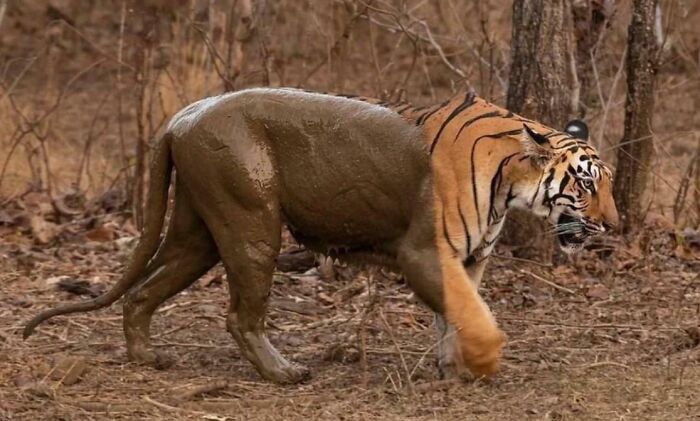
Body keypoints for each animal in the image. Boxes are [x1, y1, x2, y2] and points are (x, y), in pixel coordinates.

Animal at [24, 88, 619, 384]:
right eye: (587, 184)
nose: (615, 225)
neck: (510, 185)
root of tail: (179, 117)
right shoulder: (426, 252)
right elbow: (475, 316)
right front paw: (484, 364)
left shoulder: (469, 259)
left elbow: (457, 314)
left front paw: (455, 368)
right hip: (251, 224)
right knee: (239, 315)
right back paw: (284, 373)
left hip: (199, 234)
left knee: (143, 291)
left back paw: (147, 358)